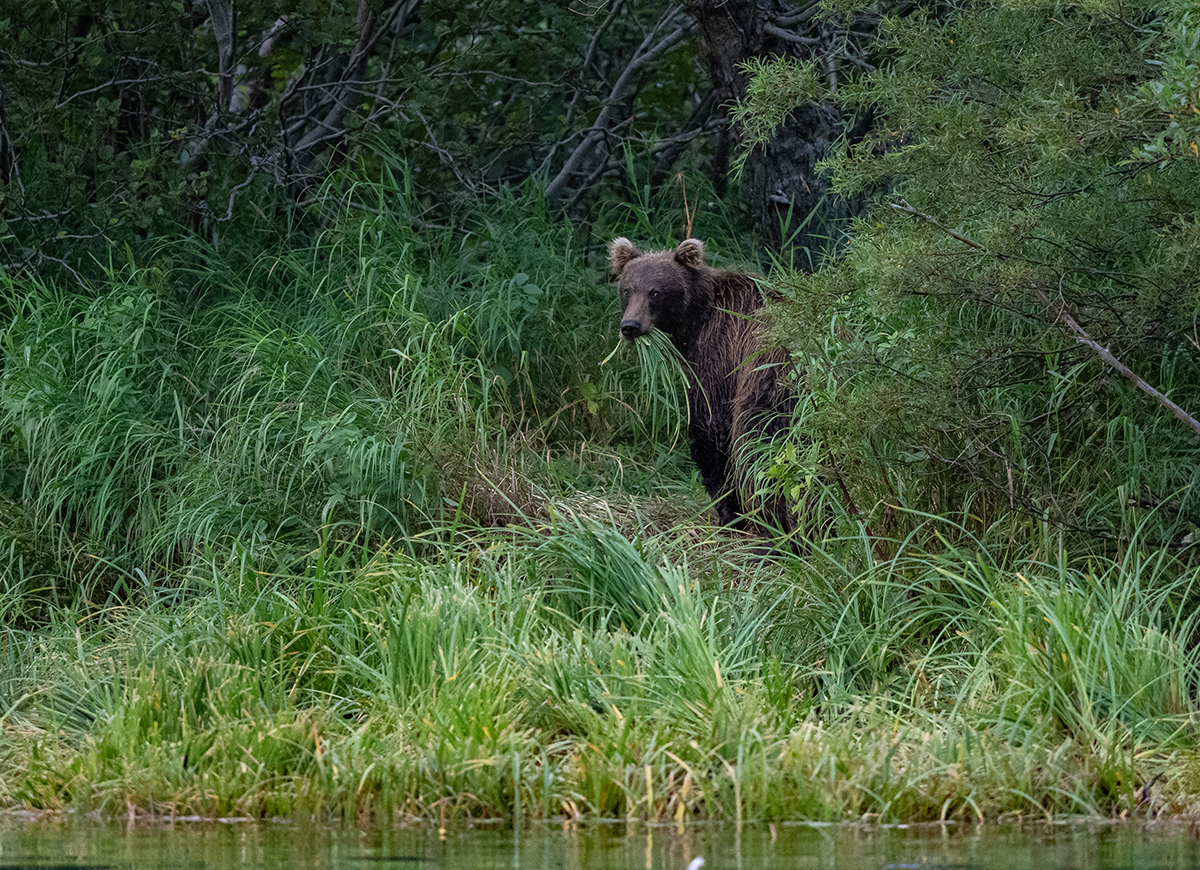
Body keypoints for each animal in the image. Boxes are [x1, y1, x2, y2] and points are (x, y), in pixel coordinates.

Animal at [609, 238, 796, 535]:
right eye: (627, 289)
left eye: (656, 292)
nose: (630, 326)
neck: (694, 321)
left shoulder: (718, 355)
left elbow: (710, 427)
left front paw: (730, 514)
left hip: (768, 382)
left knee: (757, 449)